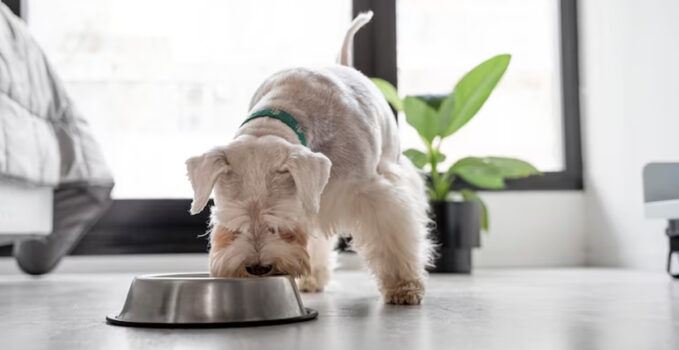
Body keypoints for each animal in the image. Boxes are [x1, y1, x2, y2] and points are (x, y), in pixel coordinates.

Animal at [186, 12, 430, 304]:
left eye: (280, 221)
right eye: (232, 223)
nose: (258, 268)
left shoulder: (372, 193)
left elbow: (391, 236)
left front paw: (403, 286)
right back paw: (312, 279)